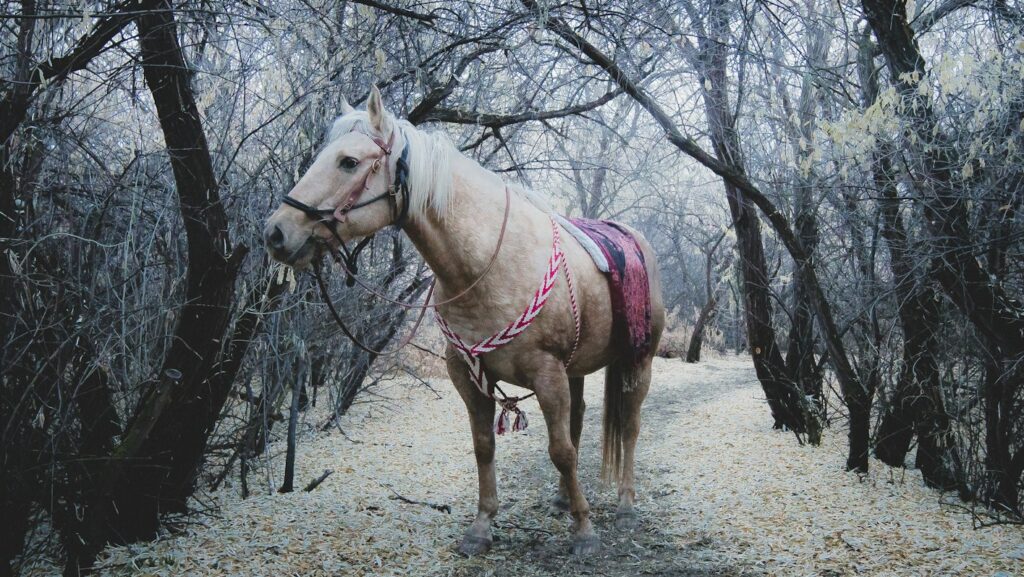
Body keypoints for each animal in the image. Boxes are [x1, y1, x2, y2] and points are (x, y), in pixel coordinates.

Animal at [263, 86, 665, 556]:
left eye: (348, 161)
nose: (276, 232)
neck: (490, 262)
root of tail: (636, 242)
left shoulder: (547, 374)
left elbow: (560, 451)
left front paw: (584, 533)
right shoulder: (469, 374)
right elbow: (485, 446)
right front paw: (482, 527)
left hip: (638, 362)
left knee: (629, 427)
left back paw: (625, 506)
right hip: (576, 369)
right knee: (579, 419)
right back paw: (564, 499)